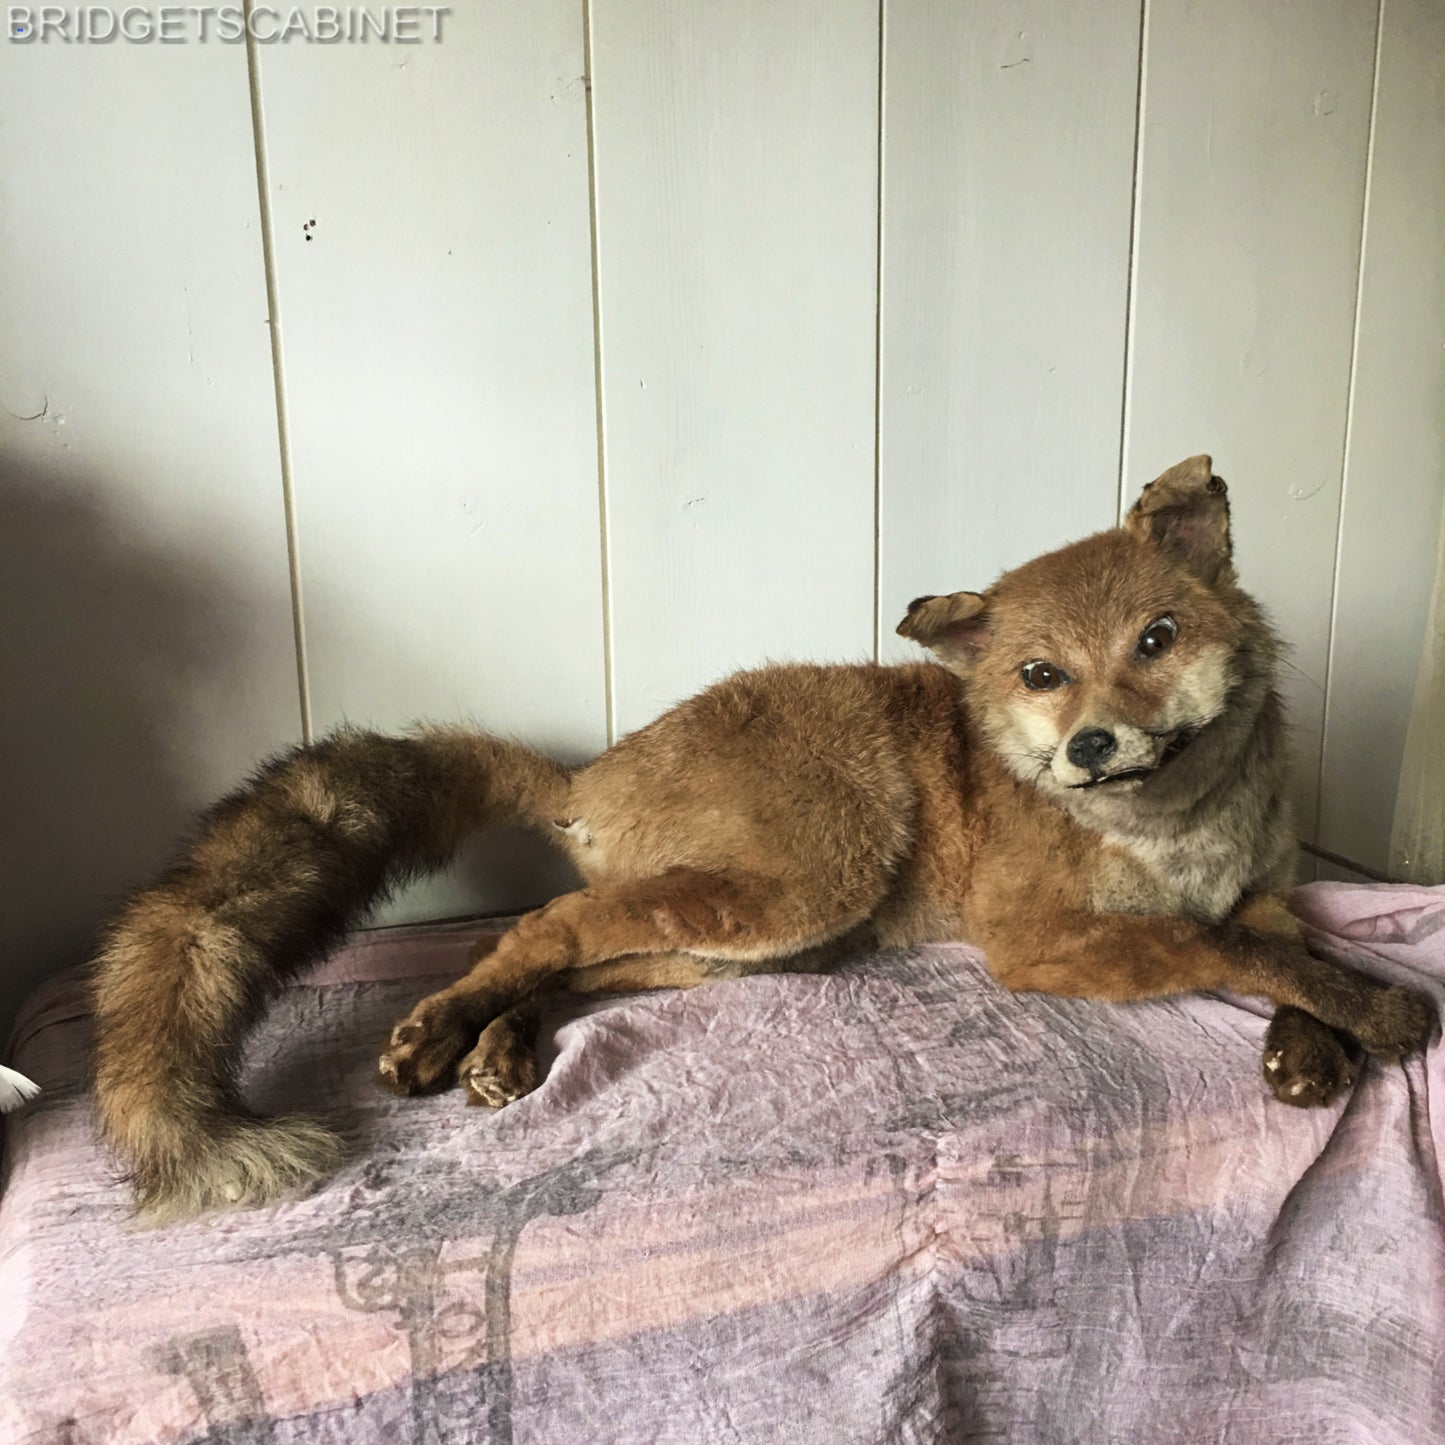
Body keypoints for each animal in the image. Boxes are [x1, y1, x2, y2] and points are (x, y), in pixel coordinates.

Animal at [91, 455, 1434, 1221]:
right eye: (1041, 675)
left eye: (1155, 639)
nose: (1093, 745)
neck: (1174, 837)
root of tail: (596, 767)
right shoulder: (1037, 940)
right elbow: (1238, 954)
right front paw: (1374, 1015)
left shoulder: (1261, 886)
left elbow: (1284, 947)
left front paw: (1308, 1045)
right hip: (804, 887)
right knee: (546, 922)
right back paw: (440, 1027)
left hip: (742, 941)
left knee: (574, 959)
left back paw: (501, 1043)